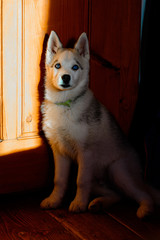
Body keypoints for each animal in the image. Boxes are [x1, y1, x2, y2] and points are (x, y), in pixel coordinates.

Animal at [40, 30, 159, 218]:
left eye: (75, 67)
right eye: (57, 66)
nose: (65, 78)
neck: (66, 104)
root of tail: (141, 175)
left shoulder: (85, 153)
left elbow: (81, 181)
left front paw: (78, 203)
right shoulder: (59, 151)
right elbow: (59, 180)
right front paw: (54, 200)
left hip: (117, 170)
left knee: (143, 194)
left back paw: (145, 210)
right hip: (98, 179)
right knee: (117, 195)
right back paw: (98, 203)